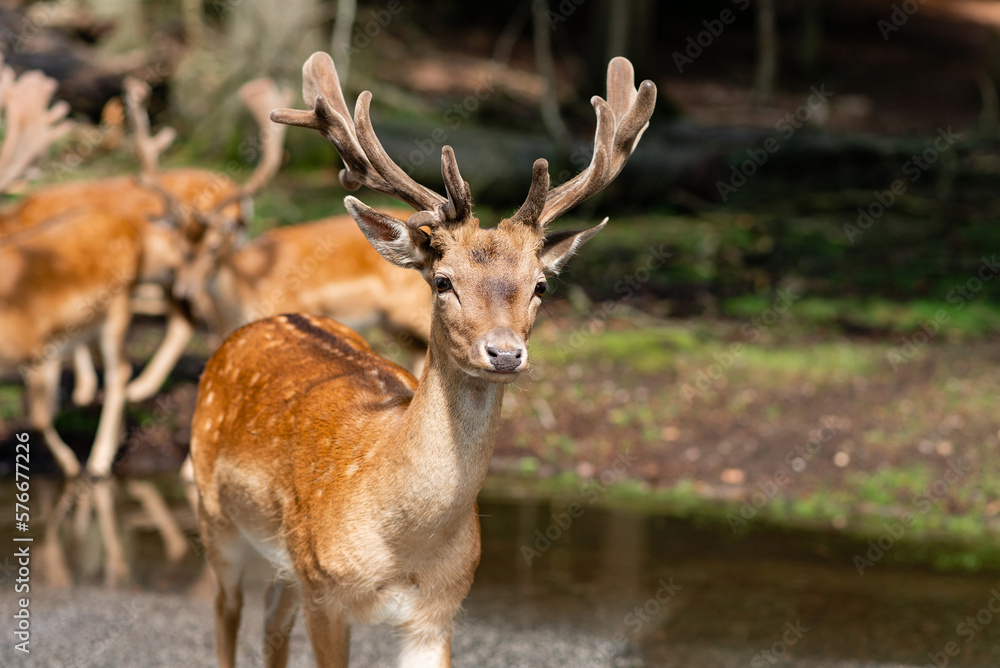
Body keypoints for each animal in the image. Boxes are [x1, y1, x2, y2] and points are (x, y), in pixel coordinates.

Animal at [189, 51, 655, 667]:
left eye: (540, 286)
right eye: (442, 281)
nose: (504, 352)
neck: (401, 548)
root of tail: (259, 322)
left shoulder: (439, 609)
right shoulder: (325, 592)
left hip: (284, 563)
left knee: (271, 625)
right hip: (218, 520)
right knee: (225, 617)